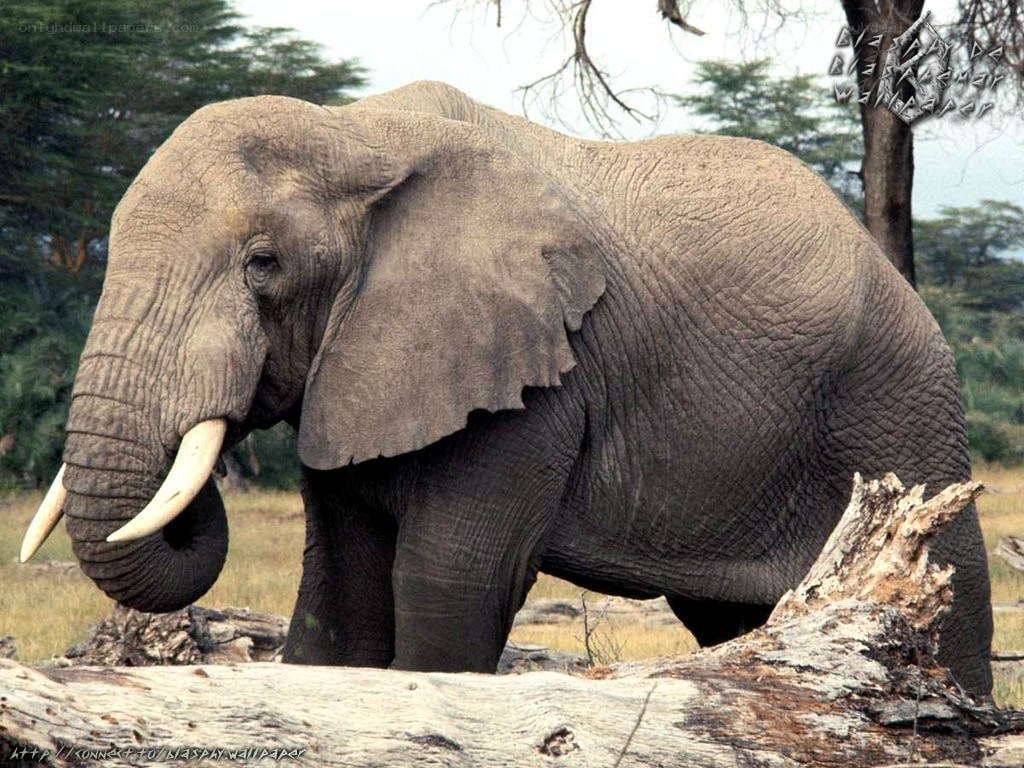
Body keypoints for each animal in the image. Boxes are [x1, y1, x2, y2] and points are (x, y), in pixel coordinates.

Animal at [21, 80, 992, 696]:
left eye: (264, 265)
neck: (355, 134)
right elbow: (339, 595)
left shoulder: (536, 383)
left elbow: (449, 580)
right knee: (731, 627)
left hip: (899, 406)